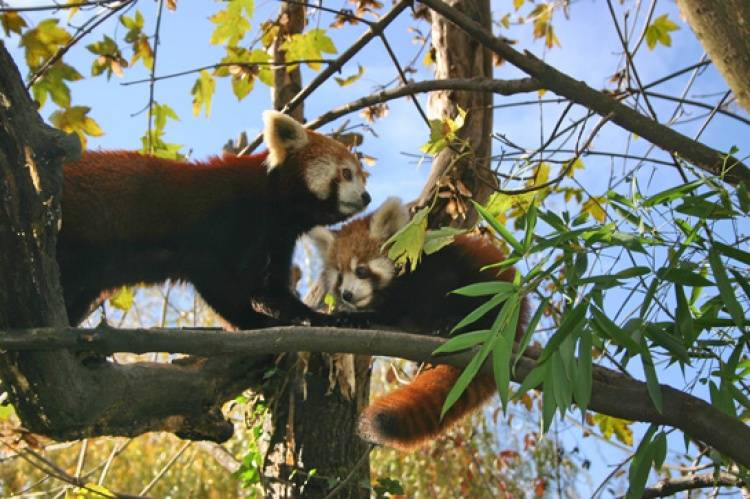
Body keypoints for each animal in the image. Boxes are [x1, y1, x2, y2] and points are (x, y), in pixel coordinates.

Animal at [59, 111, 374, 328]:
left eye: (361, 176)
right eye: (346, 173)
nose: (366, 197)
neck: (273, 205)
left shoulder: (274, 238)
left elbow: (269, 290)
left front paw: (324, 318)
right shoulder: (224, 220)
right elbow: (213, 274)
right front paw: (253, 321)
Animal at [308, 199, 532, 454]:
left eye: (361, 271)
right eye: (339, 277)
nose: (347, 294)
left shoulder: (433, 268)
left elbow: (439, 289)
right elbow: (390, 314)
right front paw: (353, 317)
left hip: (495, 295)